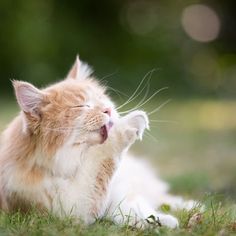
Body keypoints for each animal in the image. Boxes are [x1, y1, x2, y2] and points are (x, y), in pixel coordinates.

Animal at [0, 55, 195, 229]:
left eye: (101, 99)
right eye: (81, 106)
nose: (108, 110)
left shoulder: (116, 191)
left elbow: (134, 206)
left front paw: (161, 221)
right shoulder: (72, 209)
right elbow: (104, 154)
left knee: (162, 196)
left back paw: (192, 207)